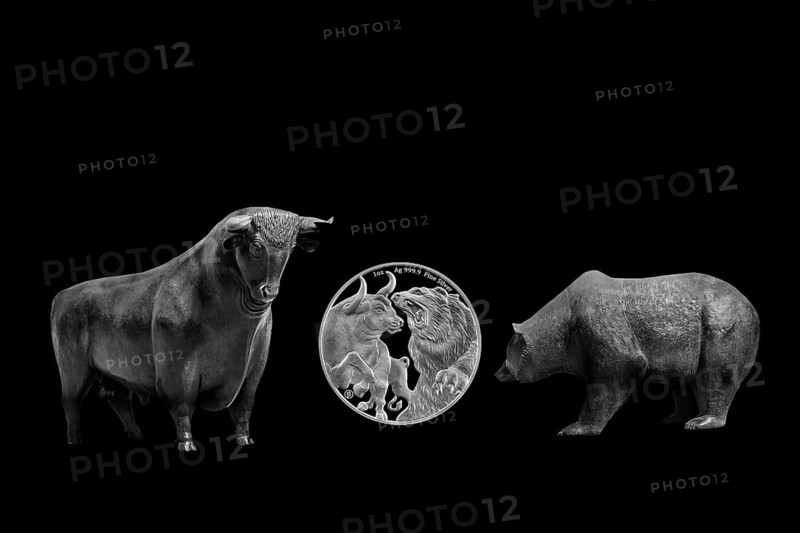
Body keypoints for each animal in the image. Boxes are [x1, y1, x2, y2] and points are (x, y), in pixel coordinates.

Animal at [51, 207, 332, 450]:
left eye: (292, 248)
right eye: (256, 245)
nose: (270, 290)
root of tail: (62, 297)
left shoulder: (253, 368)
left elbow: (244, 406)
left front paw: (244, 439)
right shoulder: (177, 369)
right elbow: (183, 406)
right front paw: (186, 444)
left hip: (114, 372)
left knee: (119, 400)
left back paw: (137, 435)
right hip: (74, 369)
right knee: (71, 402)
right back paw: (75, 440)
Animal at [321, 273, 407, 420]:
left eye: (390, 306)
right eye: (378, 308)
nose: (399, 322)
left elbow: (354, 358)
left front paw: (359, 388)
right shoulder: (337, 375)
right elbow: (353, 356)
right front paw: (360, 388)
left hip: (388, 380)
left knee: (382, 395)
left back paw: (381, 414)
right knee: (374, 393)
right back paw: (365, 405)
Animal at [495, 271, 760, 435]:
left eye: (507, 357)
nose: (497, 373)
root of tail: (751, 306)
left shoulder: (597, 320)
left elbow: (618, 368)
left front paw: (574, 427)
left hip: (722, 325)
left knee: (715, 374)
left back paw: (702, 421)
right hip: (688, 340)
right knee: (681, 380)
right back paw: (675, 417)